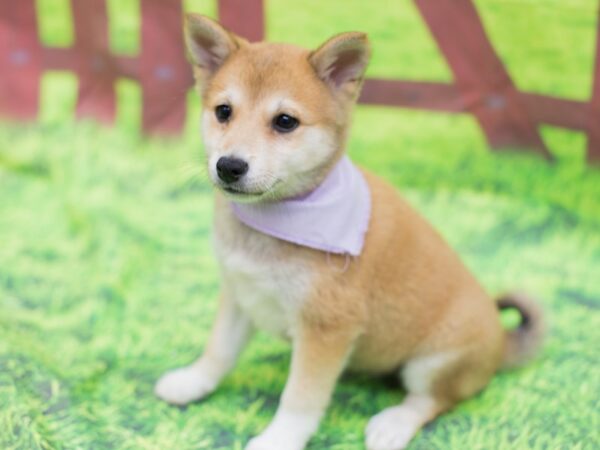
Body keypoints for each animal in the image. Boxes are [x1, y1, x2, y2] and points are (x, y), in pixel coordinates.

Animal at [154, 13, 544, 450]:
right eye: (223, 111)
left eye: (285, 121)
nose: (229, 166)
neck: (274, 223)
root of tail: (502, 343)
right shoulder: (240, 293)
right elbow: (219, 350)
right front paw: (193, 381)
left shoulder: (327, 329)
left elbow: (301, 397)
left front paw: (279, 438)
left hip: (434, 363)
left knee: (433, 400)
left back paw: (394, 424)